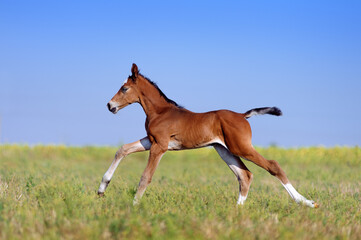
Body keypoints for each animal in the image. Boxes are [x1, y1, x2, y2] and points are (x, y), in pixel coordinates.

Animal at [97, 63, 316, 208]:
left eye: (124, 88)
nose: (109, 105)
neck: (161, 112)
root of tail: (242, 115)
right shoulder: (151, 141)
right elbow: (122, 150)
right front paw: (101, 189)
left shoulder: (160, 146)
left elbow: (146, 176)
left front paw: (134, 205)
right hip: (224, 150)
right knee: (245, 175)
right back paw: (237, 211)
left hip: (241, 147)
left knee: (272, 166)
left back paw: (306, 202)